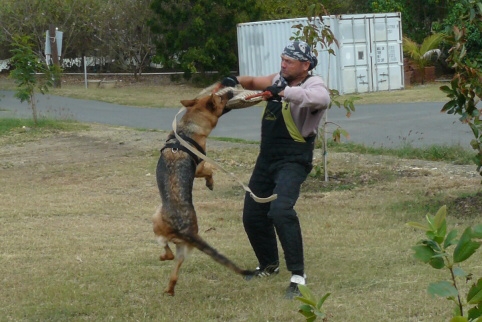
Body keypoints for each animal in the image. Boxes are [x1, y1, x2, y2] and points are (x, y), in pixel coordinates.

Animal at [153, 90, 252, 294]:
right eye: (221, 98)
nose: (231, 90)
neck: (189, 126)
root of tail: (186, 230)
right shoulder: (198, 167)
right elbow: (209, 170)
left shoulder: (199, 167)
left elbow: (209, 170)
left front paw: (210, 183)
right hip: (181, 248)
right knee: (174, 268)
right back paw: (169, 289)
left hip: (156, 221)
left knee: (167, 252)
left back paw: (163, 264)